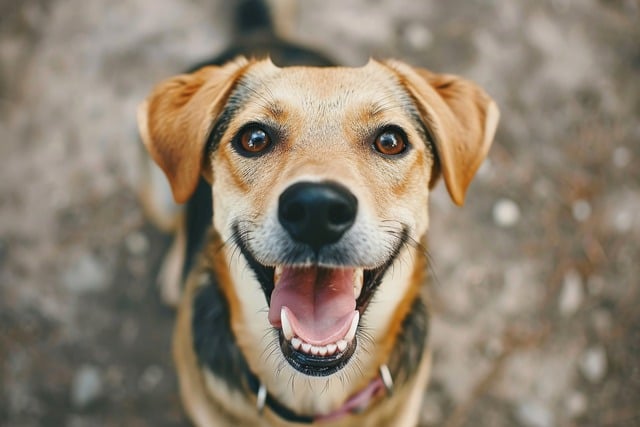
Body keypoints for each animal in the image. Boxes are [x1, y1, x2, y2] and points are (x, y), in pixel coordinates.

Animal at [139, 2, 500, 424]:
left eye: (390, 140)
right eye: (254, 138)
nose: (317, 209)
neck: (314, 390)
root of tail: (262, 33)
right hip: (160, 193)